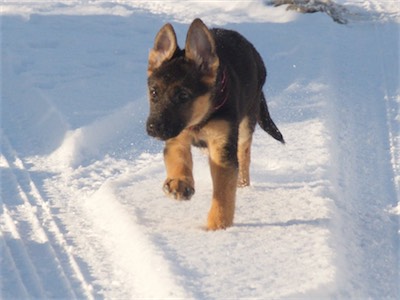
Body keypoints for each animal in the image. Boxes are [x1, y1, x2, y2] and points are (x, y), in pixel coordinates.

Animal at [147, 18, 284, 230]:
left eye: (183, 96)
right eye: (154, 92)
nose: (153, 128)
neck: (201, 119)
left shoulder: (222, 145)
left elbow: (223, 191)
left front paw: (217, 227)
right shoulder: (177, 137)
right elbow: (178, 159)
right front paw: (180, 183)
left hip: (246, 122)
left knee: (244, 155)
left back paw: (243, 184)